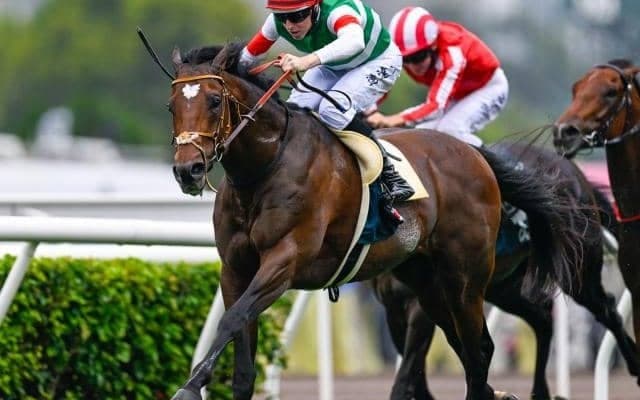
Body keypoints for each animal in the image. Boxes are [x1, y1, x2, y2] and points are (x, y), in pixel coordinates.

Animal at [166, 42, 585, 400]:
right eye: (171, 107)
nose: (188, 170)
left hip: (467, 281)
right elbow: (241, 351)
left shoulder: (285, 260)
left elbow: (231, 319)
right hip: (430, 284)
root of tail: (475, 156)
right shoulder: (235, 269)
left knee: (479, 353)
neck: (265, 167)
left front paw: (190, 386)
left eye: (215, 101)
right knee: (475, 350)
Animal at [371, 142, 640, 400]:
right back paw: (539, 390)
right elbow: (418, 367)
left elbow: (411, 365)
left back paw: (634, 364)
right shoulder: (394, 306)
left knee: (607, 310)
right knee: (542, 318)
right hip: (502, 288)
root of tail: (570, 169)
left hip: (577, 271)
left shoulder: (422, 302)